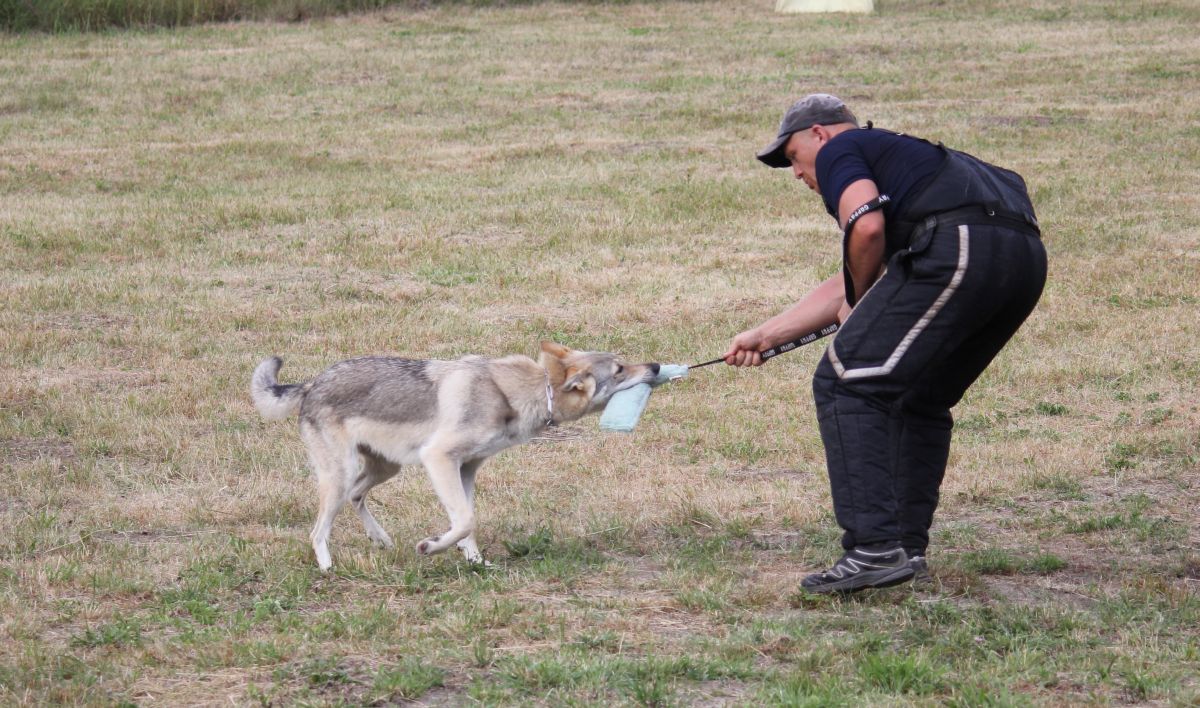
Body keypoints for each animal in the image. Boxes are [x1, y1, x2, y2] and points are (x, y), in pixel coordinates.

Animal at [252, 343, 662, 571]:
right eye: (620, 369)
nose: (657, 366)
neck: (523, 393)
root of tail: (311, 384)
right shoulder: (439, 460)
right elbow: (464, 521)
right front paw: (431, 547)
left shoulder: (466, 469)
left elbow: (467, 524)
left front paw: (476, 563)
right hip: (342, 474)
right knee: (318, 530)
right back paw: (327, 567)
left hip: (385, 468)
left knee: (357, 497)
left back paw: (380, 539)